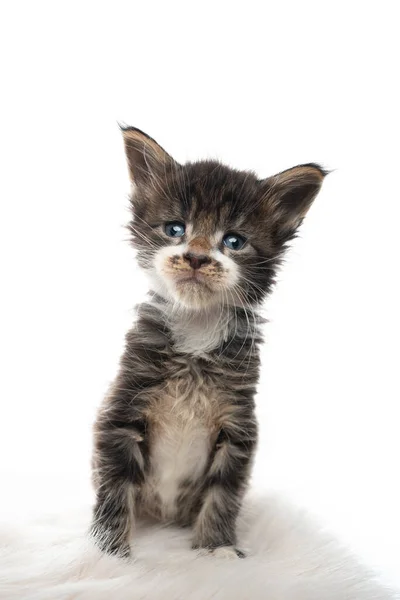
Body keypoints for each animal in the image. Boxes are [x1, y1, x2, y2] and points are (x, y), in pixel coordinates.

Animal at [90, 126, 324, 556]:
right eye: (175, 229)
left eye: (233, 241)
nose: (197, 257)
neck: (197, 330)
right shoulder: (121, 412)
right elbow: (114, 489)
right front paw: (110, 554)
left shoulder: (238, 426)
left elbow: (223, 494)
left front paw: (217, 552)